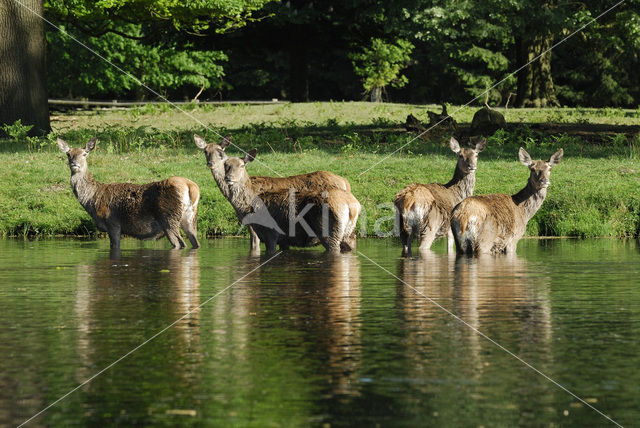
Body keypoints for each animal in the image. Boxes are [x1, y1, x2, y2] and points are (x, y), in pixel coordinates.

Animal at [59, 137, 201, 251]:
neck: (92, 200)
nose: (74, 163)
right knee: (195, 242)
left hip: (168, 219)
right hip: (190, 217)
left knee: (180, 243)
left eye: (84, 154)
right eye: (68, 154)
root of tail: (190, 187)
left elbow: (115, 246)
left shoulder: (112, 222)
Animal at [195, 135, 356, 254]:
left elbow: (255, 245)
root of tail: (345, 182)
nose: (211, 163)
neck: (239, 205)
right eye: (205, 151)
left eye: (220, 151)